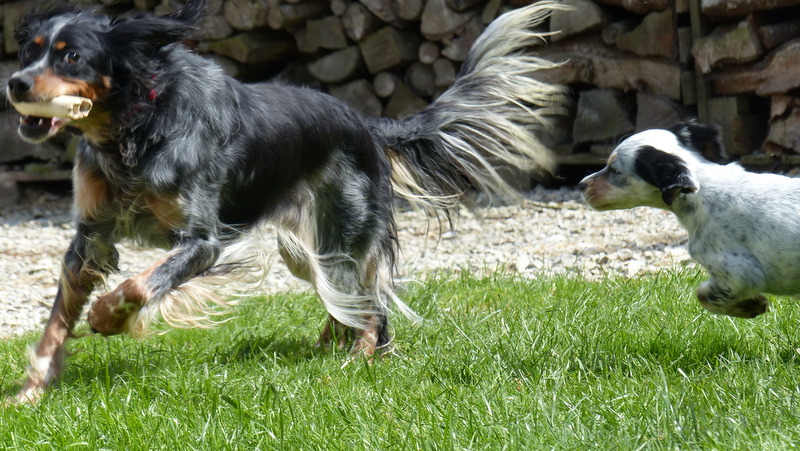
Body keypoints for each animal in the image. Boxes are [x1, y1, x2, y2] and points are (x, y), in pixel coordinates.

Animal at [4, 0, 567, 402]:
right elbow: (56, 323)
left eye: (71, 55)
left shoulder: (202, 242)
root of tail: (365, 124)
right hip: (305, 251)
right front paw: (31, 392)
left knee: (373, 304)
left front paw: (107, 317)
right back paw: (334, 342)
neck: (135, 125)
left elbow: (141, 286)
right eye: (30, 53)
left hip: (342, 237)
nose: (16, 83)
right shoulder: (90, 239)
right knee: (354, 299)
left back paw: (358, 362)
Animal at [580, 122, 800, 319]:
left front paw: (750, 306)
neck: (704, 191)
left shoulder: (740, 273)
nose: (581, 184)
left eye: (615, 170)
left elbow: (703, 295)